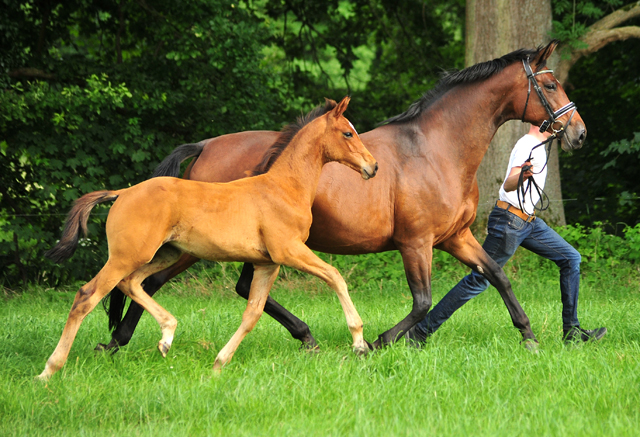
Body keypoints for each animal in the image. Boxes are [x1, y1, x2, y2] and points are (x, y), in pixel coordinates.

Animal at [37, 96, 378, 378]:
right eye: (348, 133)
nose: (372, 166)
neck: (283, 187)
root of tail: (122, 193)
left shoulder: (267, 264)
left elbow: (252, 313)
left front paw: (219, 363)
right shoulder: (289, 251)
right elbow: (335, 276)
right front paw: (359, 343)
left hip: (166, 254)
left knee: (132, 283)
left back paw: (166, 336)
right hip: (128, 256)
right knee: (87, 296)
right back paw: (49, 370)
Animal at [99, 39, 584, 352]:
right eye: (551, 85)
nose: (578, 132)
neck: (435, 148)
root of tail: (204, 147)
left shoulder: (455, 238)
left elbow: (495, 276)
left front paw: (529, 337)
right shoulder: (416, 243)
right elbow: (422, 300)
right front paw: (382, 340)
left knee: (233, 287)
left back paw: (304, 336)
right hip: (197, 247)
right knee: (151, 280)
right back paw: (119, 341)